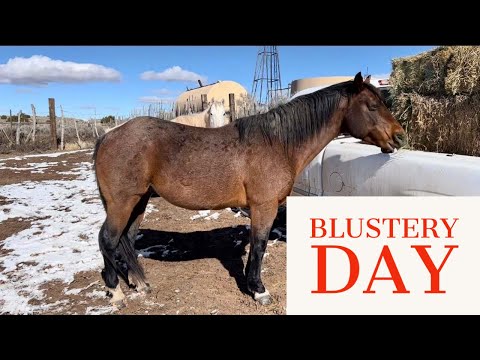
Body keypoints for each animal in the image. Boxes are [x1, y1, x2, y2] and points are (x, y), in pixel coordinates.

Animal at [93, 72, 404, 306]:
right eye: (372, 106)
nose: (399, 137)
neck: (277, 143)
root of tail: (108, 136)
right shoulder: (264, 206)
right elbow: (260, 245)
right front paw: (259, 290)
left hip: (139, 201)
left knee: (125, 239)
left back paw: (139, 284)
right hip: (123, 202)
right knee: (108, 239)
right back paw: (115, 292)